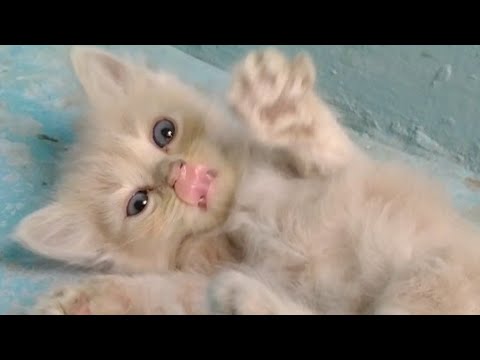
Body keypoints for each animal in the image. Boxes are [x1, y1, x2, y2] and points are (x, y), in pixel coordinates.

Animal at [12, 46, 480, 314]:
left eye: (164, 132)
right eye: (139, 203)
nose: (178, 175)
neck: (241, 205)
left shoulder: (340, 172)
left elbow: (324, 148)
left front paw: (276, 106)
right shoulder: (212, 271)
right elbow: (166, 293)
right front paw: (86, 299)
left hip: (435, 272)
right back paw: (242, 297)